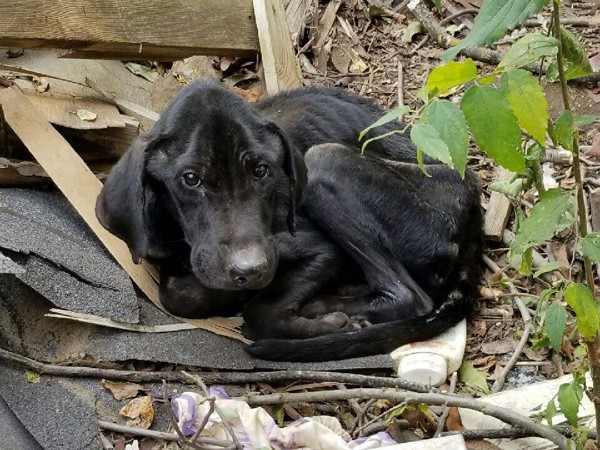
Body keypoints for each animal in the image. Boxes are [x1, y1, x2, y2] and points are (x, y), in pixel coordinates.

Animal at [97, 81, 482, 362]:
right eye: (190, 179)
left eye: (262, 170)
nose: (250, 270)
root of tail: (474, 206)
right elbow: (181, 293)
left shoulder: (320, 250)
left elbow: (258, 312)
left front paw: (322, 323)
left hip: (326, 161)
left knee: (410, 296)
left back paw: (329, 307)